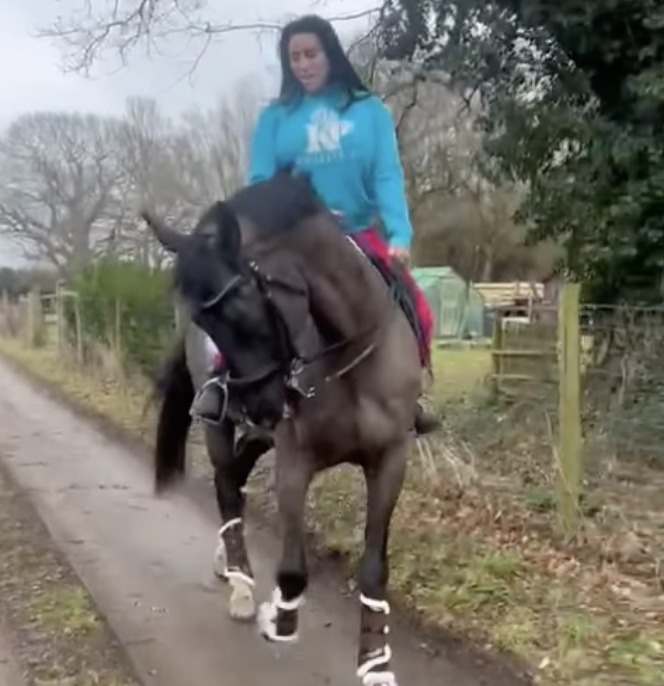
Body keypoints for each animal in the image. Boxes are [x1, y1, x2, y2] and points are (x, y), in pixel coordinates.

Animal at [143, 173, 420, 686]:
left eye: (243, 306)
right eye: (203, 320)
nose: (263, 401)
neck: (349, 352)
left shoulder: (391, 458)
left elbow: (375, 568)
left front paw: (376, 661)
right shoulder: (295, 459)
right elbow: (292, 569)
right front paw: (279, 616)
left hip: (260, 434)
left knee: (235, 476)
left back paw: (227, 561)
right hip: (225, 427)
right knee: (227, 485)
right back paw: (241, 583)